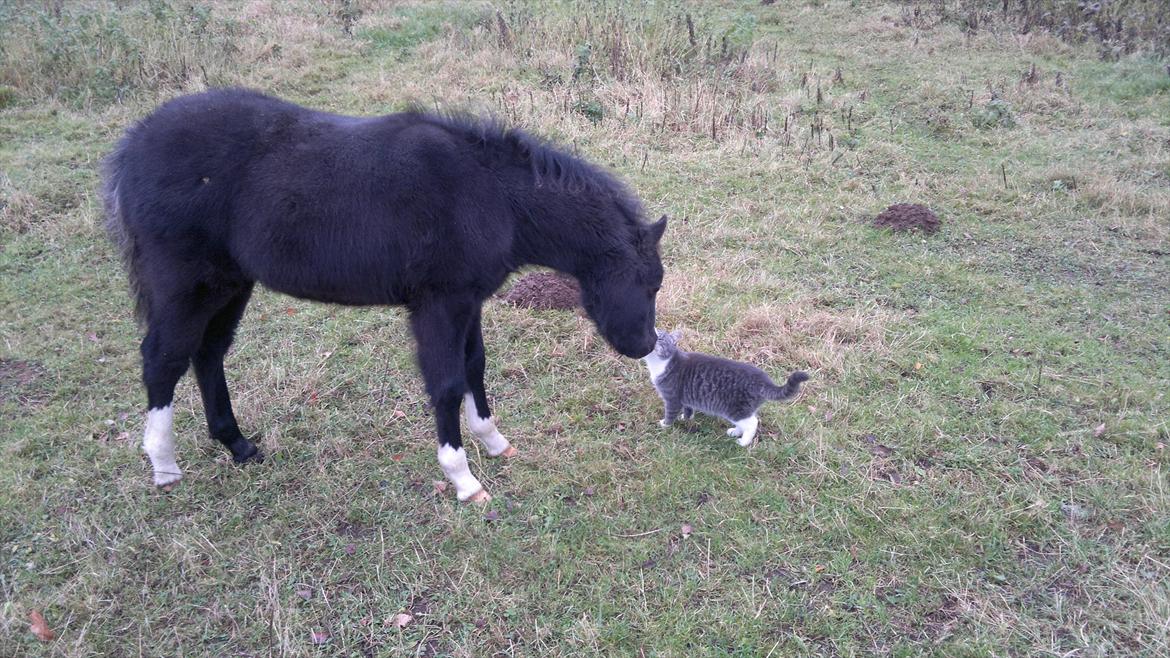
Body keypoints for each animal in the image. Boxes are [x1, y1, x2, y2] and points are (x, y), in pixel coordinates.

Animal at [106, 89, 669, 501]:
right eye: (649, 283)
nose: (644, 345)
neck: (491, 196)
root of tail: (132, 147)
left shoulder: (468, 300)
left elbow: (475, 367)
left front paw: (494, 441)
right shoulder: (438, 303)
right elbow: (446, 383)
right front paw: (463, 479)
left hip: (230, 283)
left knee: (208, 353)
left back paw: (238, 446)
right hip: (186, 283)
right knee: (163, 358)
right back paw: (164, 465)